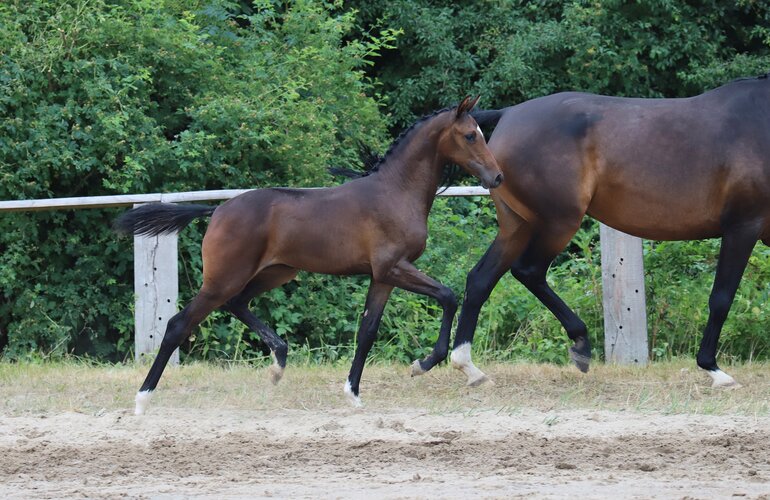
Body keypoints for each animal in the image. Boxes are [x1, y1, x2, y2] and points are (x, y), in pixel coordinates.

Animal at [114, 96, 503, 414]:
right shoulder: (394, 267)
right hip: (224, 278)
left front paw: (353, 393)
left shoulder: (382, 276)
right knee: (179, 324)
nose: (497, 177)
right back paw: (142, 400)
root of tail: (217, 211)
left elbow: (367, 330)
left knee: (238, 304)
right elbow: (448, 296)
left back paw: (278, 363)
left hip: (275, 272)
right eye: (470, 135)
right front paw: (426, 364)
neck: (396, 192)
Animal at [411, 74, 770, 388]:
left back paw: (465, 366)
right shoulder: (742, 227)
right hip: (559, 222)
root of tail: (511, 113)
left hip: (517, 226)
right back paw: (580, 345)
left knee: (480, 279)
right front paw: (714, 370)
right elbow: (721, 298)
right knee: (529, 271)